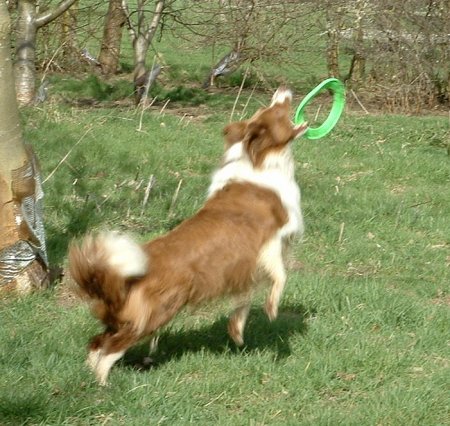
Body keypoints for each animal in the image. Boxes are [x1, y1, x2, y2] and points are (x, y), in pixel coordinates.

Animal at [69, 88, 310, 384]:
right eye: (276, 109)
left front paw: (237, 331)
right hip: (154, 315)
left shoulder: (243, 266)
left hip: (123, 319)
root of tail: (120, 279)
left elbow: (244, 299)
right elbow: (280, 276)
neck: (261, 161)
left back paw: (91, 377)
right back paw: (104, 385)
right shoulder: (270, 241)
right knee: (109, 350)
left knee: (96, 342)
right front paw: (273, 309)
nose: (282, 90)